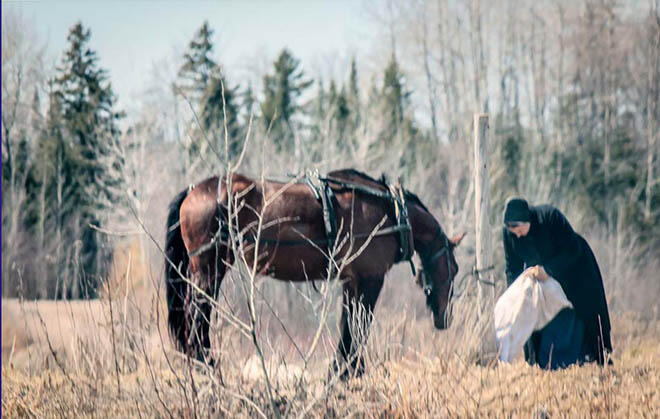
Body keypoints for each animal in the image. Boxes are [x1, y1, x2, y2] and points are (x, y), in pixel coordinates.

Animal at [164, 169, 464, 378]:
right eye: (455, 268)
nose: (446, 316)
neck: (389, 211)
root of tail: (195, 191)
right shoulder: (370, 280)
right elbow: (359, 325)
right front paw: (351, 370)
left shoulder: (352, 281)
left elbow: (348, 325)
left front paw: (342, 370)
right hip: (209, 268)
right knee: (197, 313)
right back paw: (206, 364)